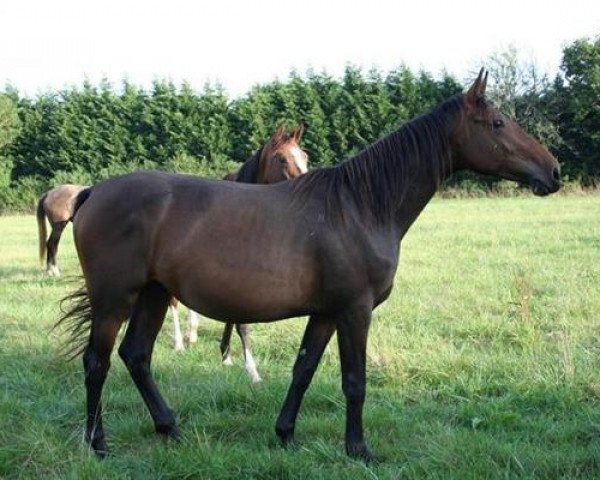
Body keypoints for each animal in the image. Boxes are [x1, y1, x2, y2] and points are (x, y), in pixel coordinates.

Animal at [57, 71, 564, 462]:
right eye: (497, 122)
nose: (554, 171)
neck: (360, 206)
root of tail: (93, 192)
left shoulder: (324, 313)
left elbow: (303, 370)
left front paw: (285, 434)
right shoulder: (354, 311)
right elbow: (354, 381)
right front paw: (359, 450)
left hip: (155, 294)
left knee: (136, 356)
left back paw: (171, 429)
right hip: (115, 299)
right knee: (97, 361)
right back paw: (98, 444)